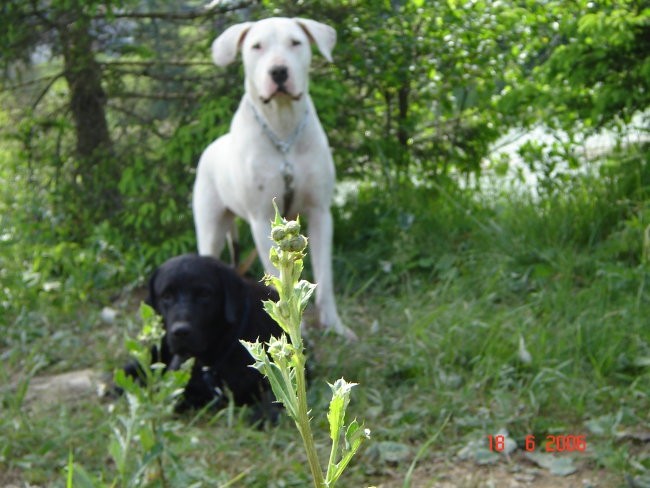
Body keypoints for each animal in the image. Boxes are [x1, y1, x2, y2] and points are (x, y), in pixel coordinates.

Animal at [192, 18, 354, 340]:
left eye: (295, 42)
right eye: (256, 46)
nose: (278, 71)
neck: (282, 133)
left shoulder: (320, 213)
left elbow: (325, 278)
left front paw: (335, 325)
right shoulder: (260, 217)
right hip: (210, 227)